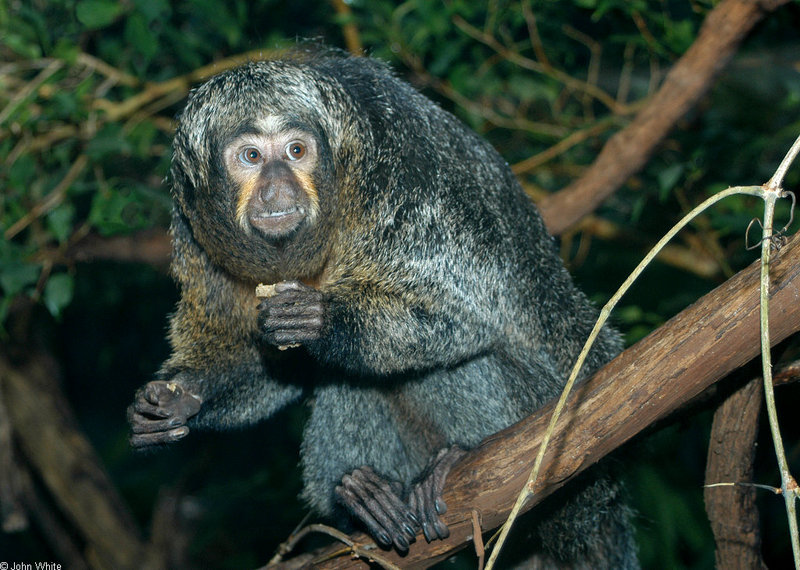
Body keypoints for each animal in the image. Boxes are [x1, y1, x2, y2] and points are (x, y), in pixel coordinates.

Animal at [126, 45, 636, 564]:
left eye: (296, 151)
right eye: (251, 156)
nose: (278, 189)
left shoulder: (405, 184)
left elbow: (464, 317)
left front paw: (319, 321)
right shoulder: (193, 231)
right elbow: (273, 363)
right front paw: (178, 403)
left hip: (550, 425)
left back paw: (458, 459)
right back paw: (361, 497)